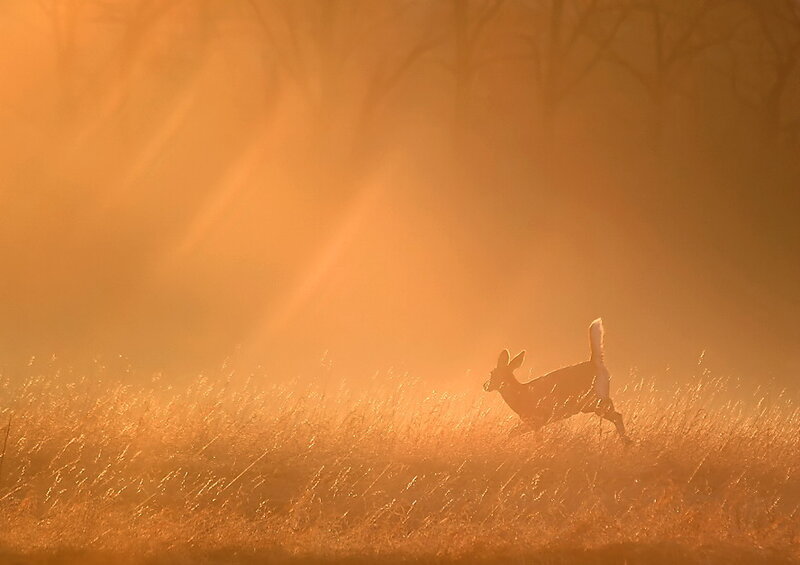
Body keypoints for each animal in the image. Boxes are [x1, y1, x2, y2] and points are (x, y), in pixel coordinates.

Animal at [483, 318, 629, 441]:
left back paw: (626, 443)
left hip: (594, 400)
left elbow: (532, 438)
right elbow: (513, 433)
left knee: (617, 416)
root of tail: (595, 363)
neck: (521, 394)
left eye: (492, 373)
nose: (486, 386)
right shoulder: (533, 422)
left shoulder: (538, 419)